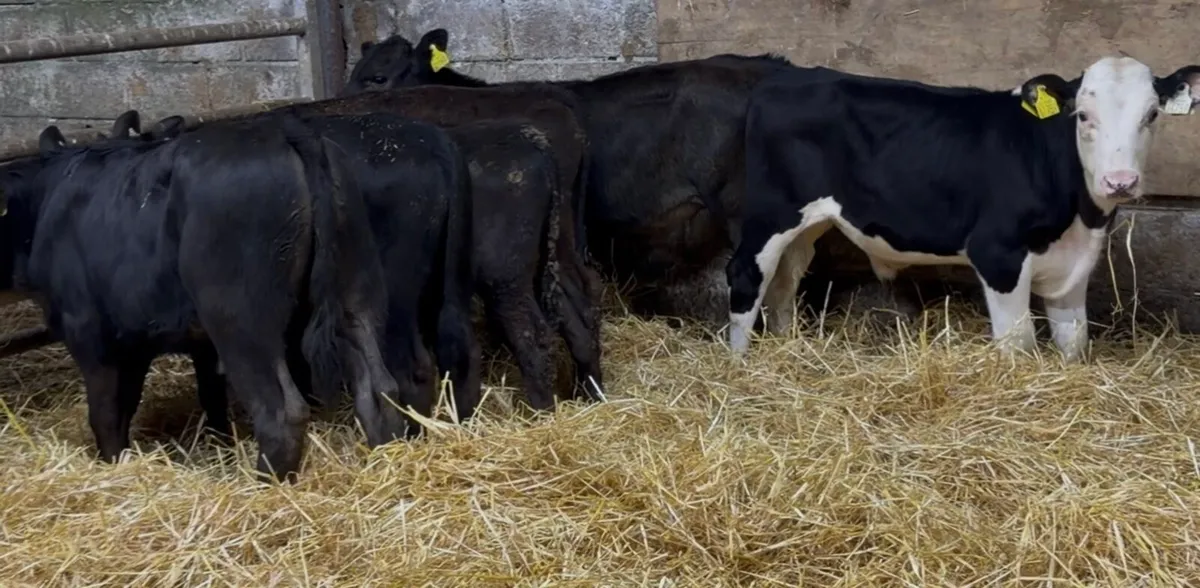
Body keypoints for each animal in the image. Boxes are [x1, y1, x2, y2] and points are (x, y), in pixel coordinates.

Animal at [0, 113, 410, 482]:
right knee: (378, 387)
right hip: (357, 283)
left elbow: (105, 414)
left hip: (240, 317)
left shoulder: (90, 334)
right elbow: (195, 399)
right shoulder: (156, 343)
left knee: (282, 412)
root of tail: (284, 129)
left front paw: (112, 467)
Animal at [724, 56, 1200, 361]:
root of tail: (786, 78)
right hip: (772, 213)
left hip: (807, 222)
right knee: (747, 273)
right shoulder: (997, 253)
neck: (1080, 214)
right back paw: (739, 365)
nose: (1120, 182)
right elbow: (1019, 344)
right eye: (1082, 115)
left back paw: (787, 348)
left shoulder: (1074, 264)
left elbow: (1074, 341)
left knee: (785, 279)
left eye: (1152, 115)